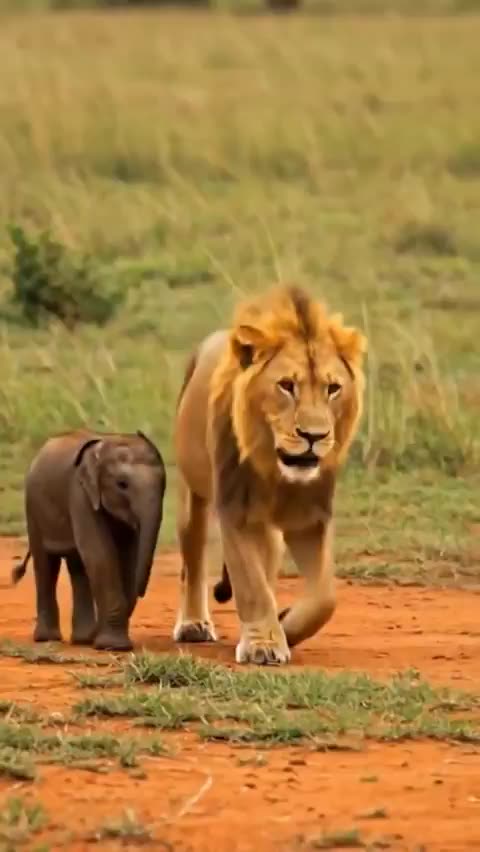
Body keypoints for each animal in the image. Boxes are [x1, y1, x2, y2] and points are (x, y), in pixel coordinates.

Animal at [12, 429, 166, 651]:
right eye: (122, 485)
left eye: (164, 486)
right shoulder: (80, 495)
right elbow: (100, 554)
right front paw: (113, 647)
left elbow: (128, 556)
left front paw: (107, 642)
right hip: (33, 507)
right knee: (46, 564)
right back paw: (48, 638)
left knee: (78, 567)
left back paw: (82, 640)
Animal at [174, 284, 366, 665]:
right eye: (286, 386)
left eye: (333, 388)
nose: (314, 436)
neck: (276, 472)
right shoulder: (236, 511)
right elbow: (252, 585)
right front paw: (263, 644)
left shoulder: (311, 518)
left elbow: (325, 597)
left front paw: (286, 625)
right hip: (194, 496)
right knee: (194, 557)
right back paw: (194, 624)